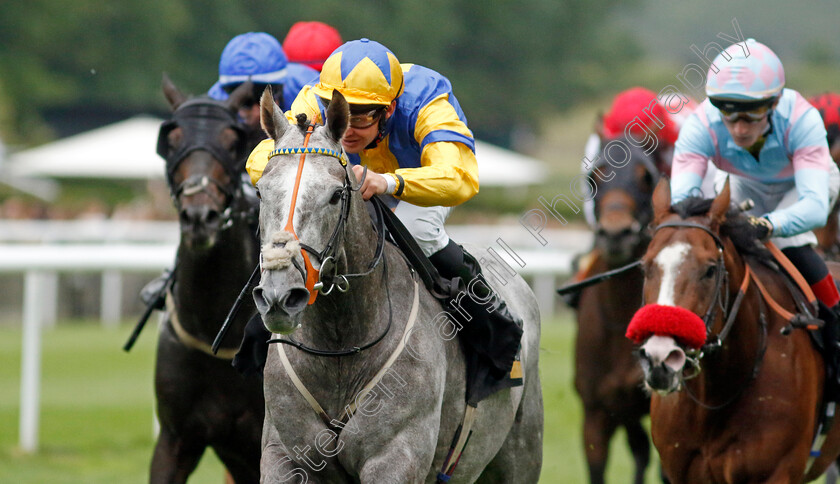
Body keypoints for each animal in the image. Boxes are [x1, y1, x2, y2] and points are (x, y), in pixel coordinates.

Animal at [253, 90, 548, 480]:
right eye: (261, 192)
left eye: (335, 195)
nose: (279, 295)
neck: (339, 346)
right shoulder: (283, 454)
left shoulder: (395, 456)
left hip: (522, 451)